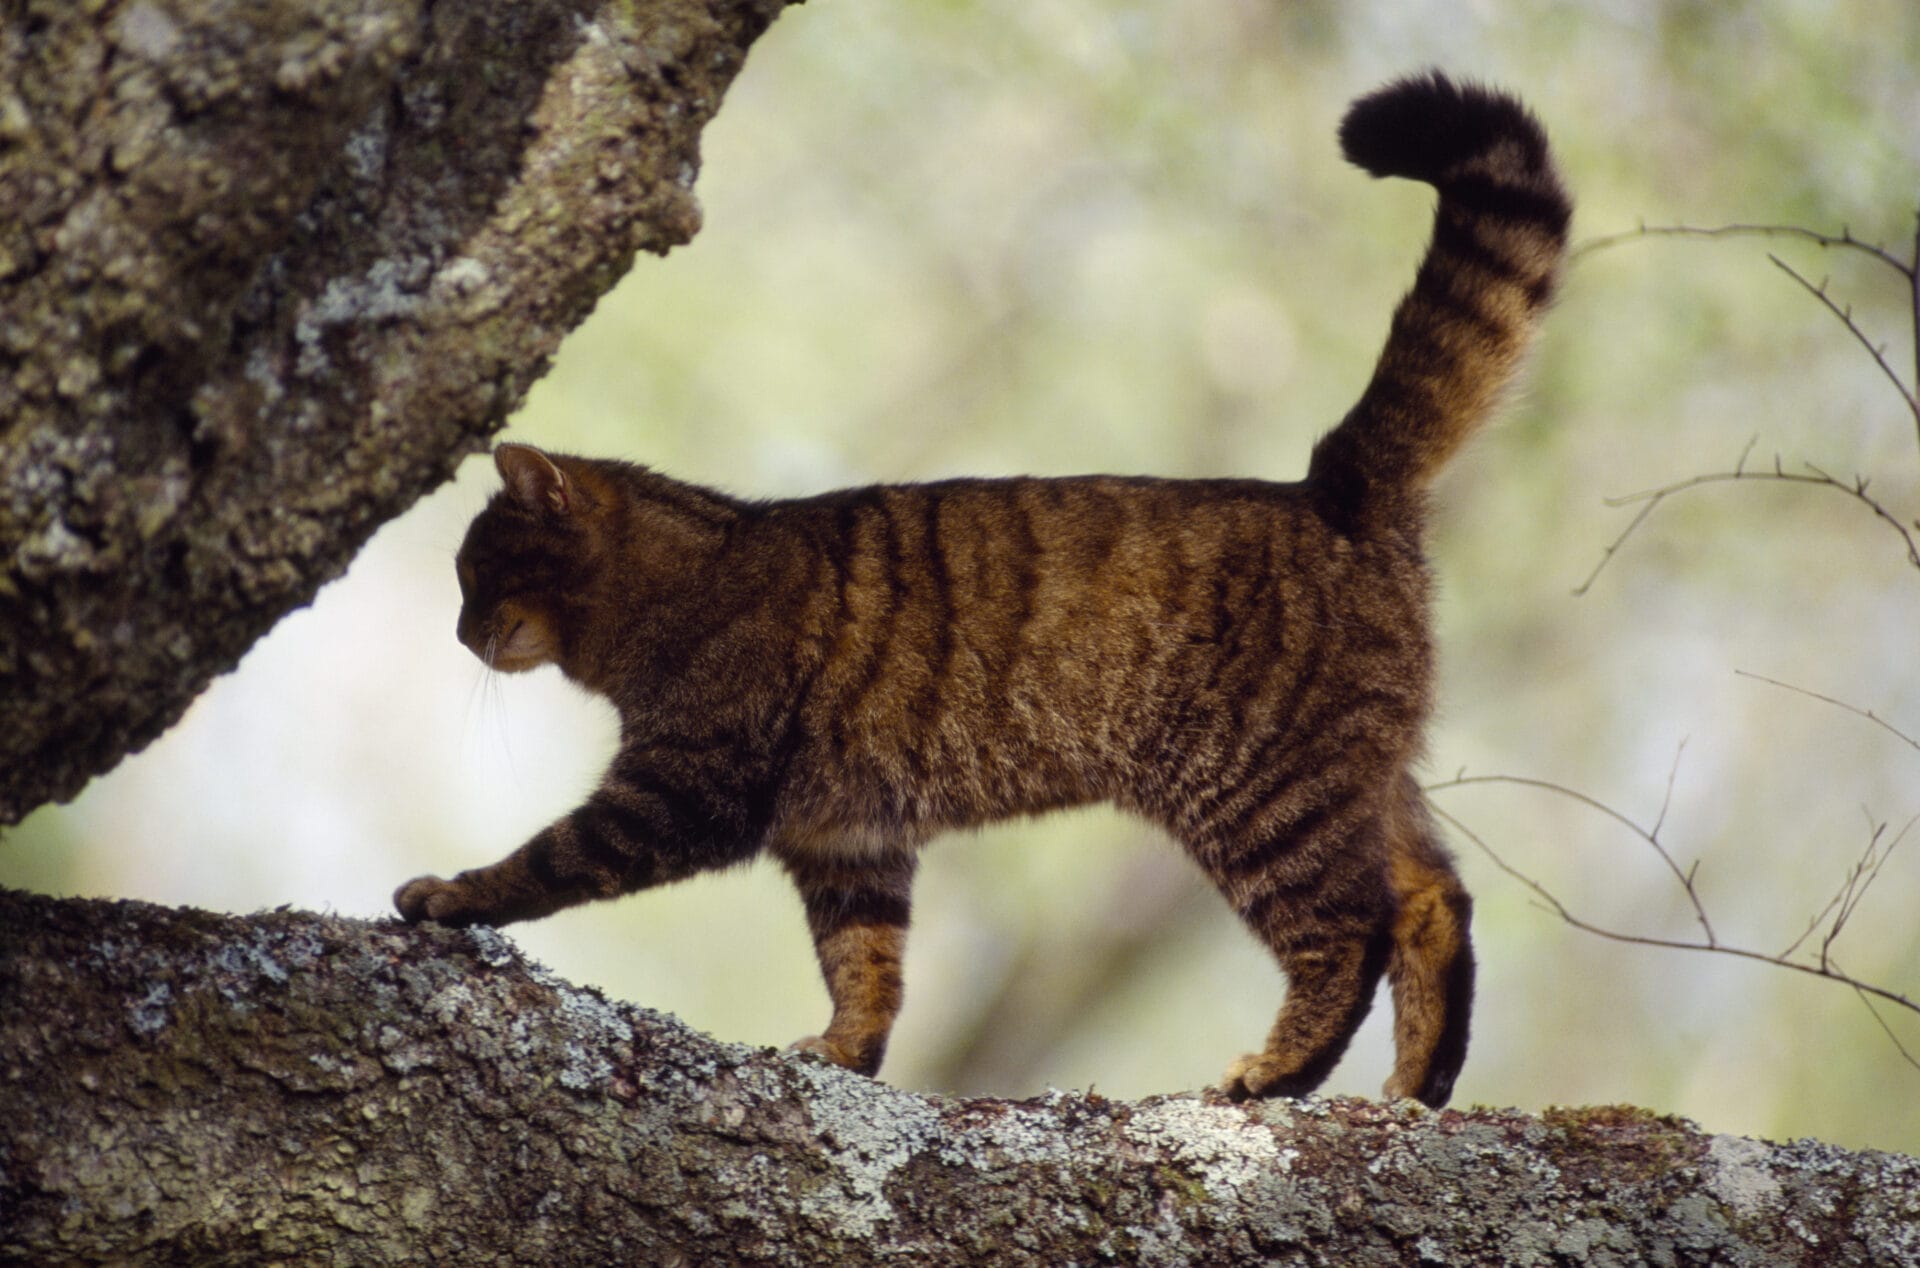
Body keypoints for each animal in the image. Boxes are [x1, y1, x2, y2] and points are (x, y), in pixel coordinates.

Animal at [397, 74, 1566, 1106]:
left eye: (474, 573)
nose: (454, 632)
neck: (682, 577)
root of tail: (1330, 481)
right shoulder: (847, 840)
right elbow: (866, 966)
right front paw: (844, 1053)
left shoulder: (679, 788)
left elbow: (549, 858)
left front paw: (452, 894)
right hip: (1357, 777)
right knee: (1436, 902)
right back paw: (1416, 1089)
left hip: (1264, 794)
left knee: (1350, 931)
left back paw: (1279, 1072)